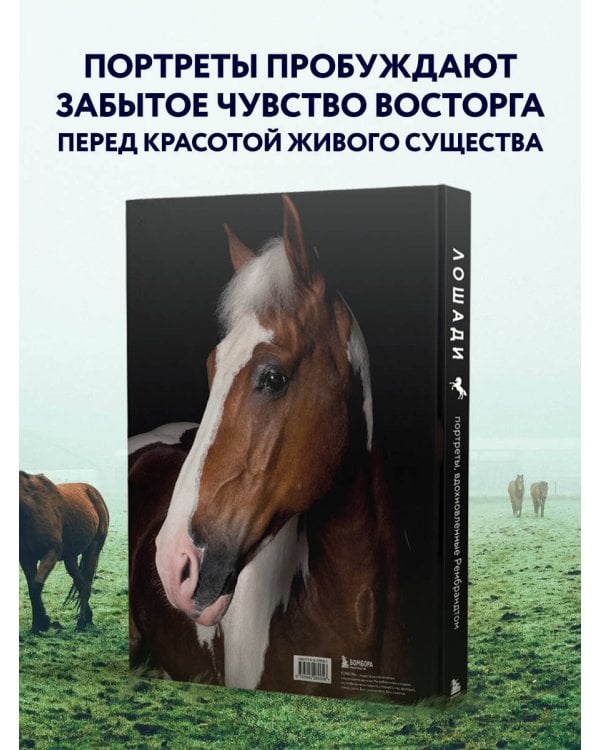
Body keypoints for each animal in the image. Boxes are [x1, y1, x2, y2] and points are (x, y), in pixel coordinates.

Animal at [19, 471, 110, 633]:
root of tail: (94, 493)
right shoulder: (26, 558)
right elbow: (32, 588)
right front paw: (37, 624)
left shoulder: (51, 553)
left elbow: (36, 586)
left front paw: (43, 622)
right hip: (70, 557)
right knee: (80, 582)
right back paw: (88, 617)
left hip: (93, 549)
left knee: (86, 584)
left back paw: (81, 623)